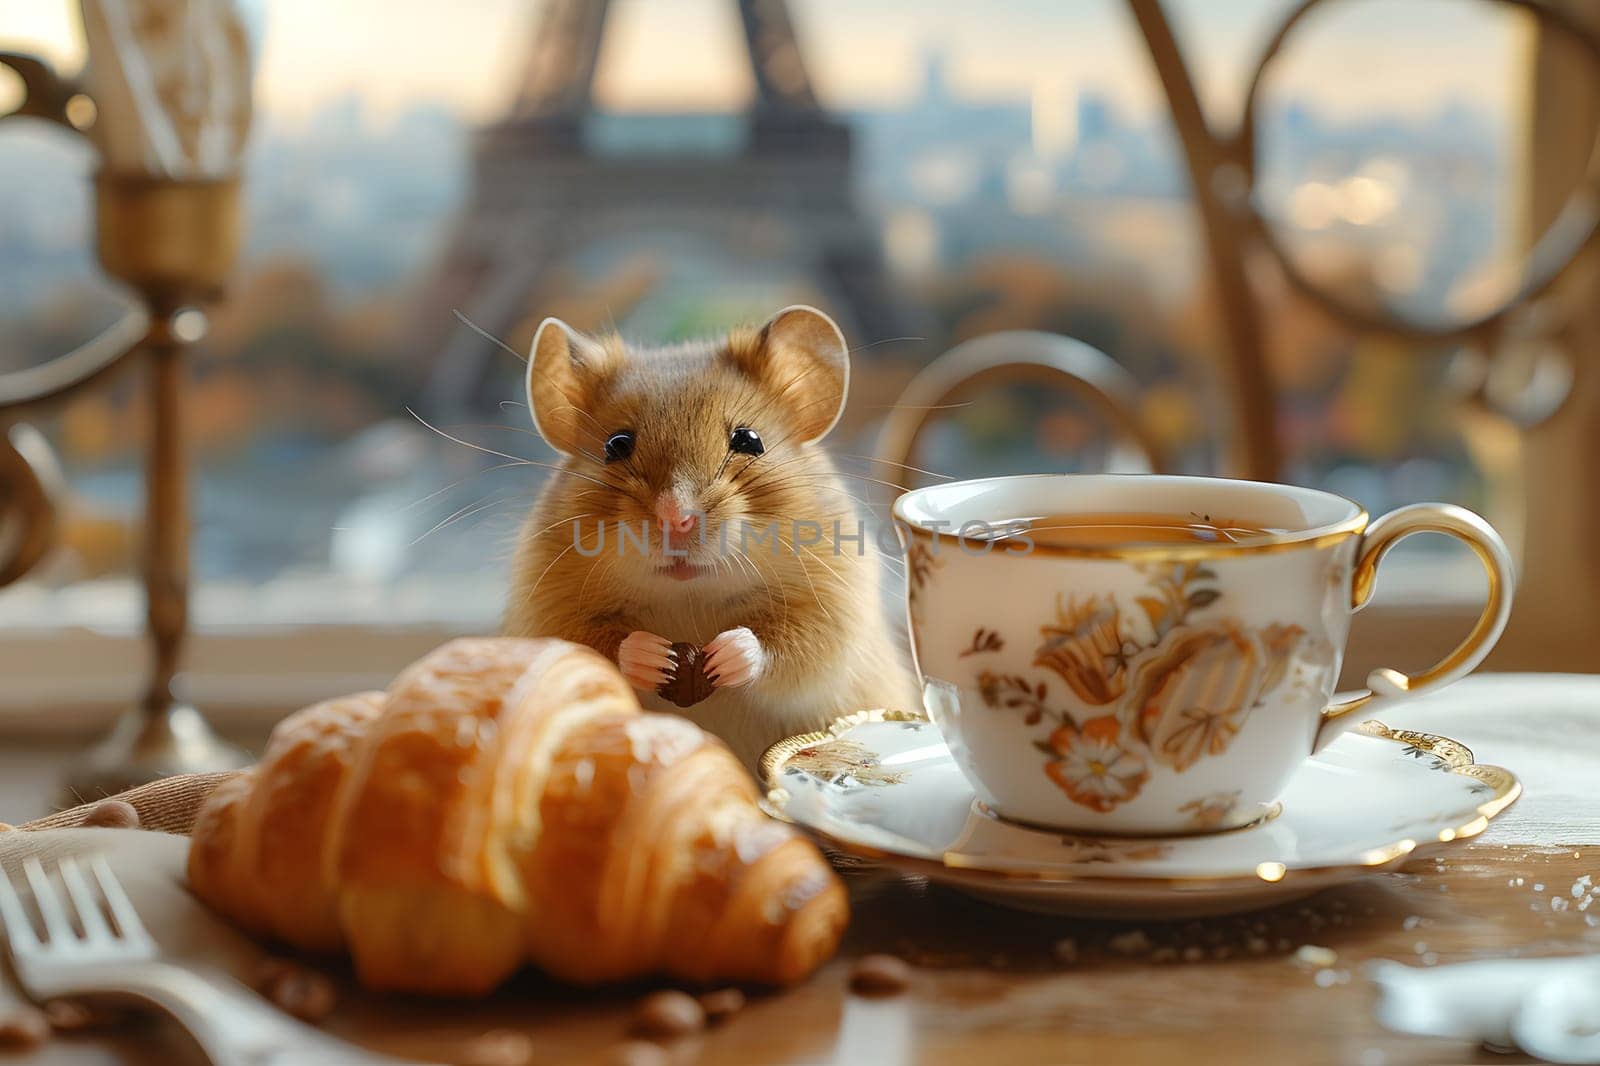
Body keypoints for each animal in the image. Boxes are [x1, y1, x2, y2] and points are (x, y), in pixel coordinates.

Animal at [505, 302, 921, 768]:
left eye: (749, 440)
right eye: (616, 445)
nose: (676, 517)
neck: (690, 595)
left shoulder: (833, 613)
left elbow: (783, 648)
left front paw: (725, 656)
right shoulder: (547, 613)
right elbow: (600, 648)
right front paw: (654, 656)